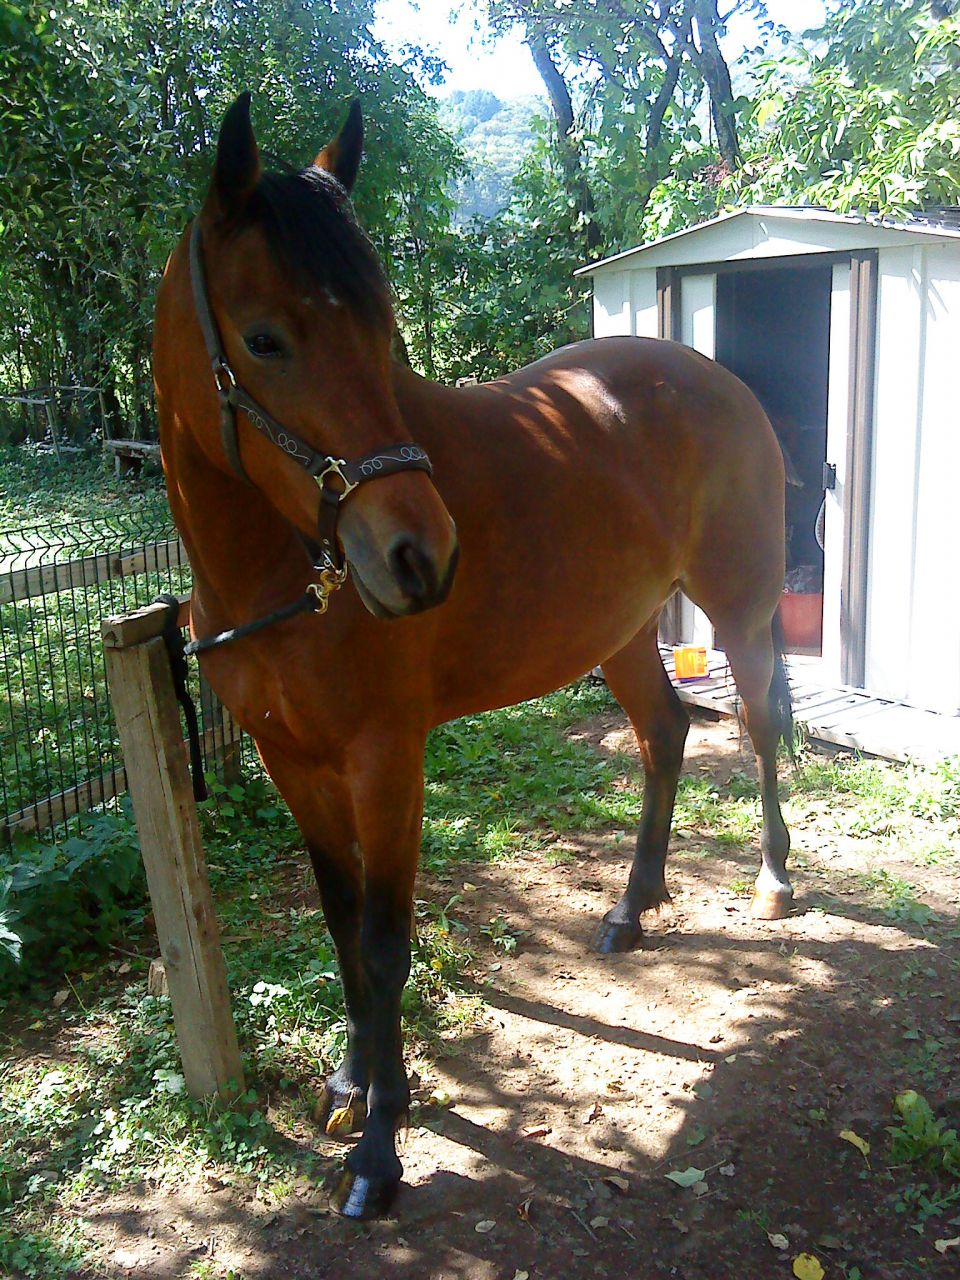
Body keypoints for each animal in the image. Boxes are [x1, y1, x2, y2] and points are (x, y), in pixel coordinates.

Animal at [153, 93, 794, 1220]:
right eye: (265, 339)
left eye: (382, 333)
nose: (420, 555)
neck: (280, 573)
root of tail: (716, 380)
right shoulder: (292, 762)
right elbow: (339, 927)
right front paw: (354, 1080)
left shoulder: (385, 759)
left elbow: (382, 941)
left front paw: (380, 1145)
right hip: (620, 631)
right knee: (665, 735)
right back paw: (632, 906)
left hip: (739, 607)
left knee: (758, 721)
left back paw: (770, 881)